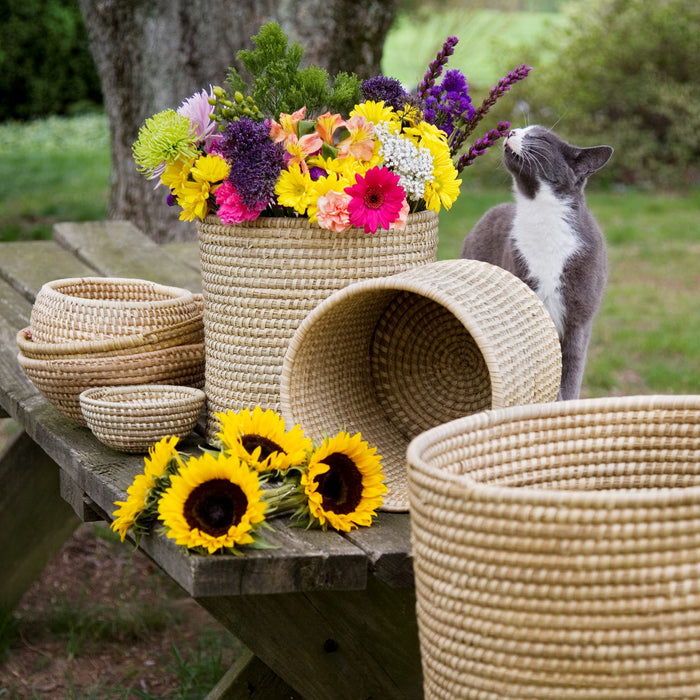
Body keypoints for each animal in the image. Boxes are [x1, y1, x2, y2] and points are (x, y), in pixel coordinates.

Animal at [460, 126, 612, 400]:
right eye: (521, 130)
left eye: (540, 138)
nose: (511, 131)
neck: (541, 216)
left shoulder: (579, 321)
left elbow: (570, 376)